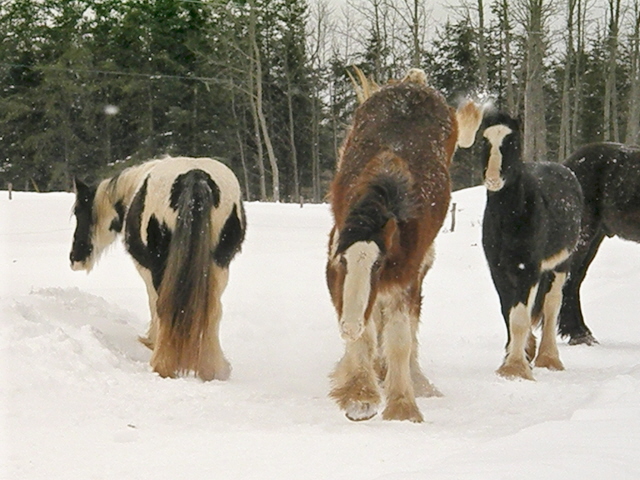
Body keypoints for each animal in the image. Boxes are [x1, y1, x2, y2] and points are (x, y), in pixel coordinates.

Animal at [69, 158, 245, 382]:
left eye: (78, 212)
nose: (74, 259)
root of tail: (196, 176)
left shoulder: (147, 271)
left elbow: (154, 305)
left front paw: (151, 341)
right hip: (219, 266)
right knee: (213, 311)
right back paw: (212, 370)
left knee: (165, 307)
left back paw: (163, 366)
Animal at [328, 69, 482, 422]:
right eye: (341, 262)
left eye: (379, 264)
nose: (349, 327)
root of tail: (413, 82)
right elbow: (368, 335)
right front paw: (360, 395)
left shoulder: (403, 280)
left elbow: (399, 339)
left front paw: (402, 405)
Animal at [480, 110, 584, 380]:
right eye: (484, 142)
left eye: (513, 142)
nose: (493, 179)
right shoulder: (498, 270)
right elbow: (509, 314)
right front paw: (518, 356)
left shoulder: (528, 269)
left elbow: (520, 317)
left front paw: (516, 368)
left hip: (560, 266)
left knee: (551, 305)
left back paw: (549, 358)